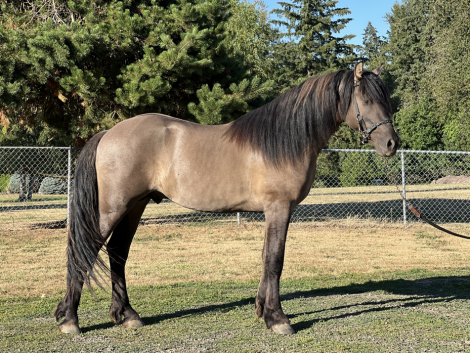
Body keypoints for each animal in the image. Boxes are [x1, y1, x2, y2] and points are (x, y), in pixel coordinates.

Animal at [53, 62, 398, 334]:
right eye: (366, 99)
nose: (392, 144)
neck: (283, 141)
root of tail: (108, 133)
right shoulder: (279, 207)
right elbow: (275, 259)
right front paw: (278, 319)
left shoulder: (272, 211)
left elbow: (265, 256)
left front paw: (262, 309)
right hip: (113, 208)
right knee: (85, 250)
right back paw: (70, 319)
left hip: (134, 206)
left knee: (117, 253)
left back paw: (127, 315)